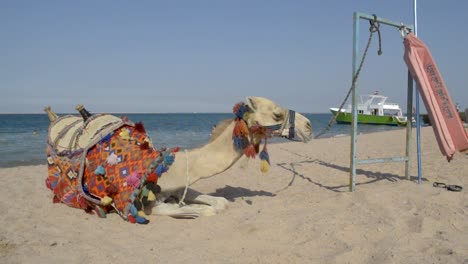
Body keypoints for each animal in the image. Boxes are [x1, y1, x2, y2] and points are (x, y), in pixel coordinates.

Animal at [45, 96, 312, 221]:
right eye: (277, 114)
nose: (309, 126)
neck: (166, 169)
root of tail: (54, 118)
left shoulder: (183, 185)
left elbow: (220, 203)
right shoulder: (145, 204)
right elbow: (202, 210)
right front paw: (189, 210)